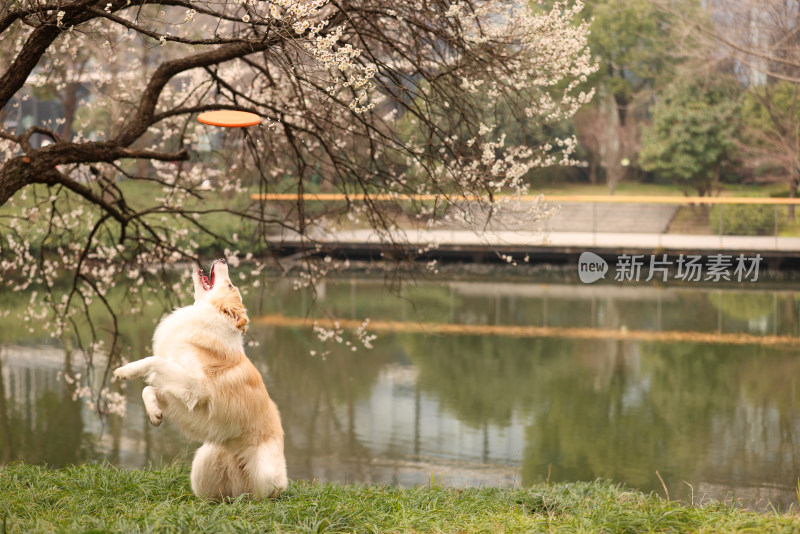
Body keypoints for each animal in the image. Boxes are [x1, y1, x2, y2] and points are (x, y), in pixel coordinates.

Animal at [112, 260, 288, 502]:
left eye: (230, 285)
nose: (222, 259)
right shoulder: (182, 395)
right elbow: (149, 389)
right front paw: (154, 414)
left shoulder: (197, 387)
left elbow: (153, 361)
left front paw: (125, 370)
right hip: (203, 463)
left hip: (264, 472)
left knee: (265, 494)